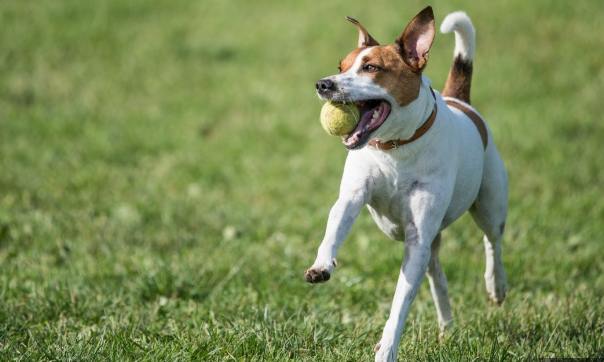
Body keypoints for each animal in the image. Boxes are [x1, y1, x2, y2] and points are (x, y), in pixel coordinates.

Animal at [304, 6, 508, 362]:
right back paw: (447, 328)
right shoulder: (353, 196)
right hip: (433, 240)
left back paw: (495, 286)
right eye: (341, 67)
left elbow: (400, 303)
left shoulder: (417, 238)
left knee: (492, 242)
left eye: (371, 67)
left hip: (488, 203)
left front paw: (386, 349)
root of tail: (460, 101)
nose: (323, 84)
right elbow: (334, 229)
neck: (395, 149)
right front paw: (320, 265)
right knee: (437, 274)